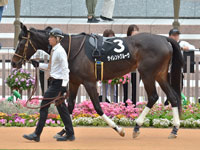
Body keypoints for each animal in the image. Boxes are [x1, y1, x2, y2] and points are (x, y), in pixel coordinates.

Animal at [10, 22, 183, 139]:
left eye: (21, 41)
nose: (13, 62)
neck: (72, 48)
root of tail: (164, 39)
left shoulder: (89, 82)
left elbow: (98, 107)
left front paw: (118, 129)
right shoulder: (74, 82)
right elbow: (70, 106)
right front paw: (64, 131)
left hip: (147, 74)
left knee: (153, 97)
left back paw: (137, 127)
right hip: (160, 74)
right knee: (173, 97)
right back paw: (174, 129)